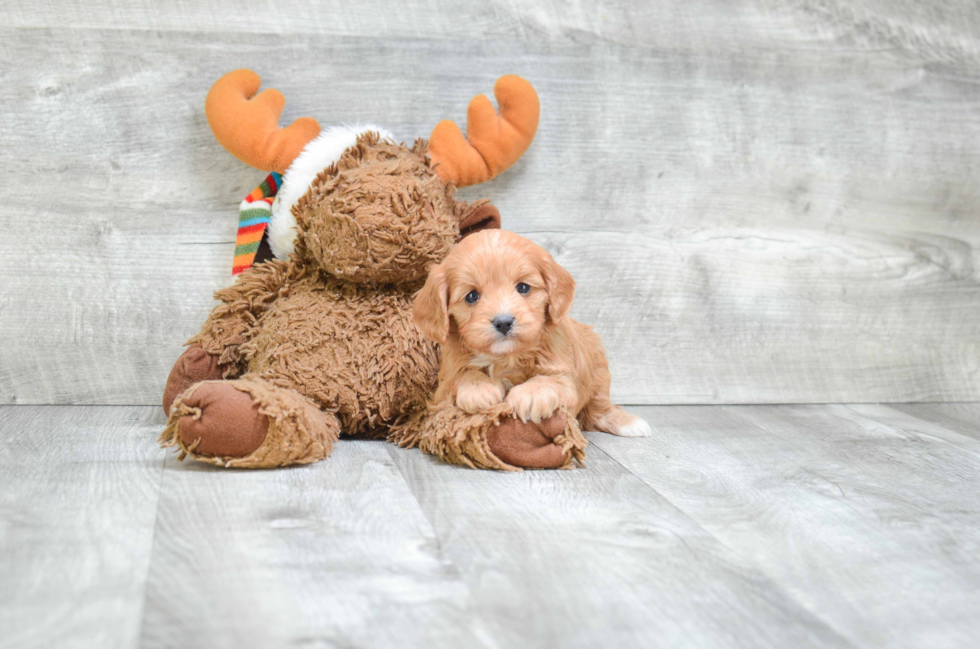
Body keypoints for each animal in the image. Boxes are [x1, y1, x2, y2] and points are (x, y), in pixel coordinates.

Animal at [414, 228, 652, 436]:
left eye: (523, 287)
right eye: (472, 296)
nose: (503, 322)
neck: (506, 357)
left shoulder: (564, 373)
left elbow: (550, 380)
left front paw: (530, 395)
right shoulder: (444, 383)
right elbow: (461, 376)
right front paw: (478, 388)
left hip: (598, 370)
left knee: (599, 409)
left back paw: (628, 423)